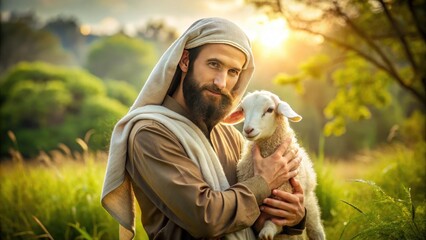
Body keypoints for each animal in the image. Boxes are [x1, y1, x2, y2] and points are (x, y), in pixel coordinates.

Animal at [225, 90, 324, 240]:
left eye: (270, 110)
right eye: (243, 110)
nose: (248, 129)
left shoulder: (285, 198)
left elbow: (276, 221)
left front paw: (267, 231)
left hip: (311, 205)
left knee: (315, 228)